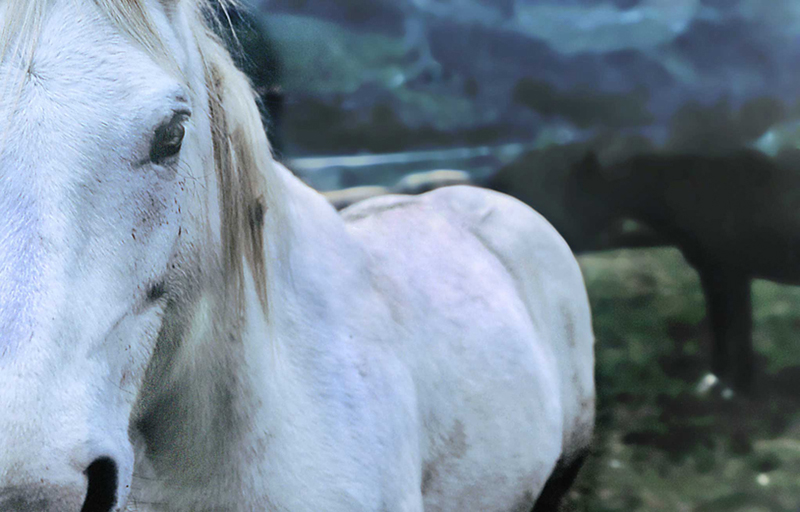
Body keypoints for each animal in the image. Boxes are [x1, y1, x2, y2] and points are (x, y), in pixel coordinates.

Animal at [568, 149, 800, 394]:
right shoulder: (712, 274)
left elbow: (739, 328)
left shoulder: (735, 276)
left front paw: (737, 386)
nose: (572, 242)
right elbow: (719, 324)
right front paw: (713, 379)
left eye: (584, 193)